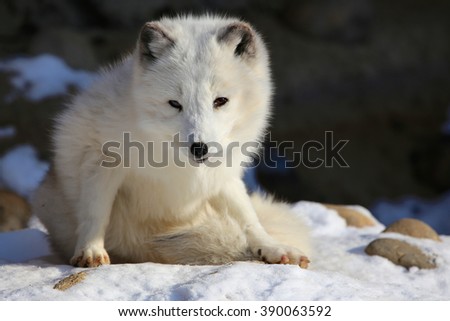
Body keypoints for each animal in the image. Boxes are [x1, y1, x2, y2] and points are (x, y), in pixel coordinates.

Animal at [33, 14, 312, 268]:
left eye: (220, 101)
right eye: (175, 103)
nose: (200, 149)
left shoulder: (222, 175)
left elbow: (247, 218)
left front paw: (271, 247)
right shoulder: (100, 159)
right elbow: (96, 212)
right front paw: (90, 251)